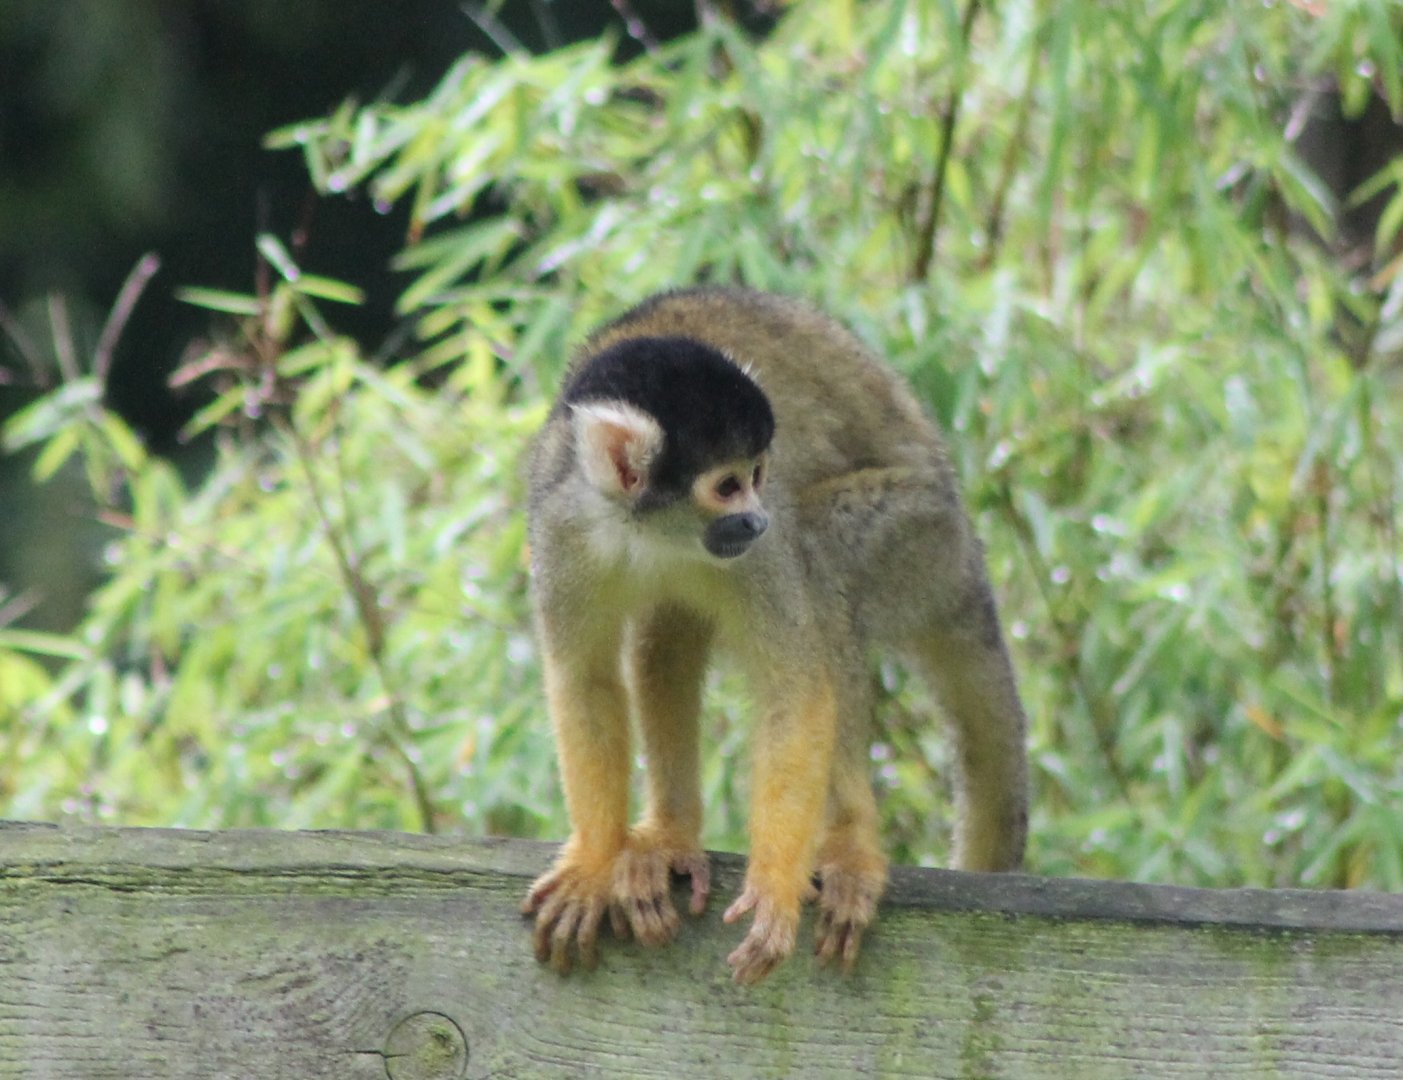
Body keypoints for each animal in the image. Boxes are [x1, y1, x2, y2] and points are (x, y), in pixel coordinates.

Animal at [521, 287, 1028, 985]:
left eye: (760, 474)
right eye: (728, 485)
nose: (757, 519)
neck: (643, 530)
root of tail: (967, 552)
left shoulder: (760, 555)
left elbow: (798, 685)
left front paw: (774, 887)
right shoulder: (561, 526)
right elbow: (585, 682)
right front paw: (596, 861)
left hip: (922, 538)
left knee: (822, 554)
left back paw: (850, 845)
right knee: (666, 631)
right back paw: (672, 835)